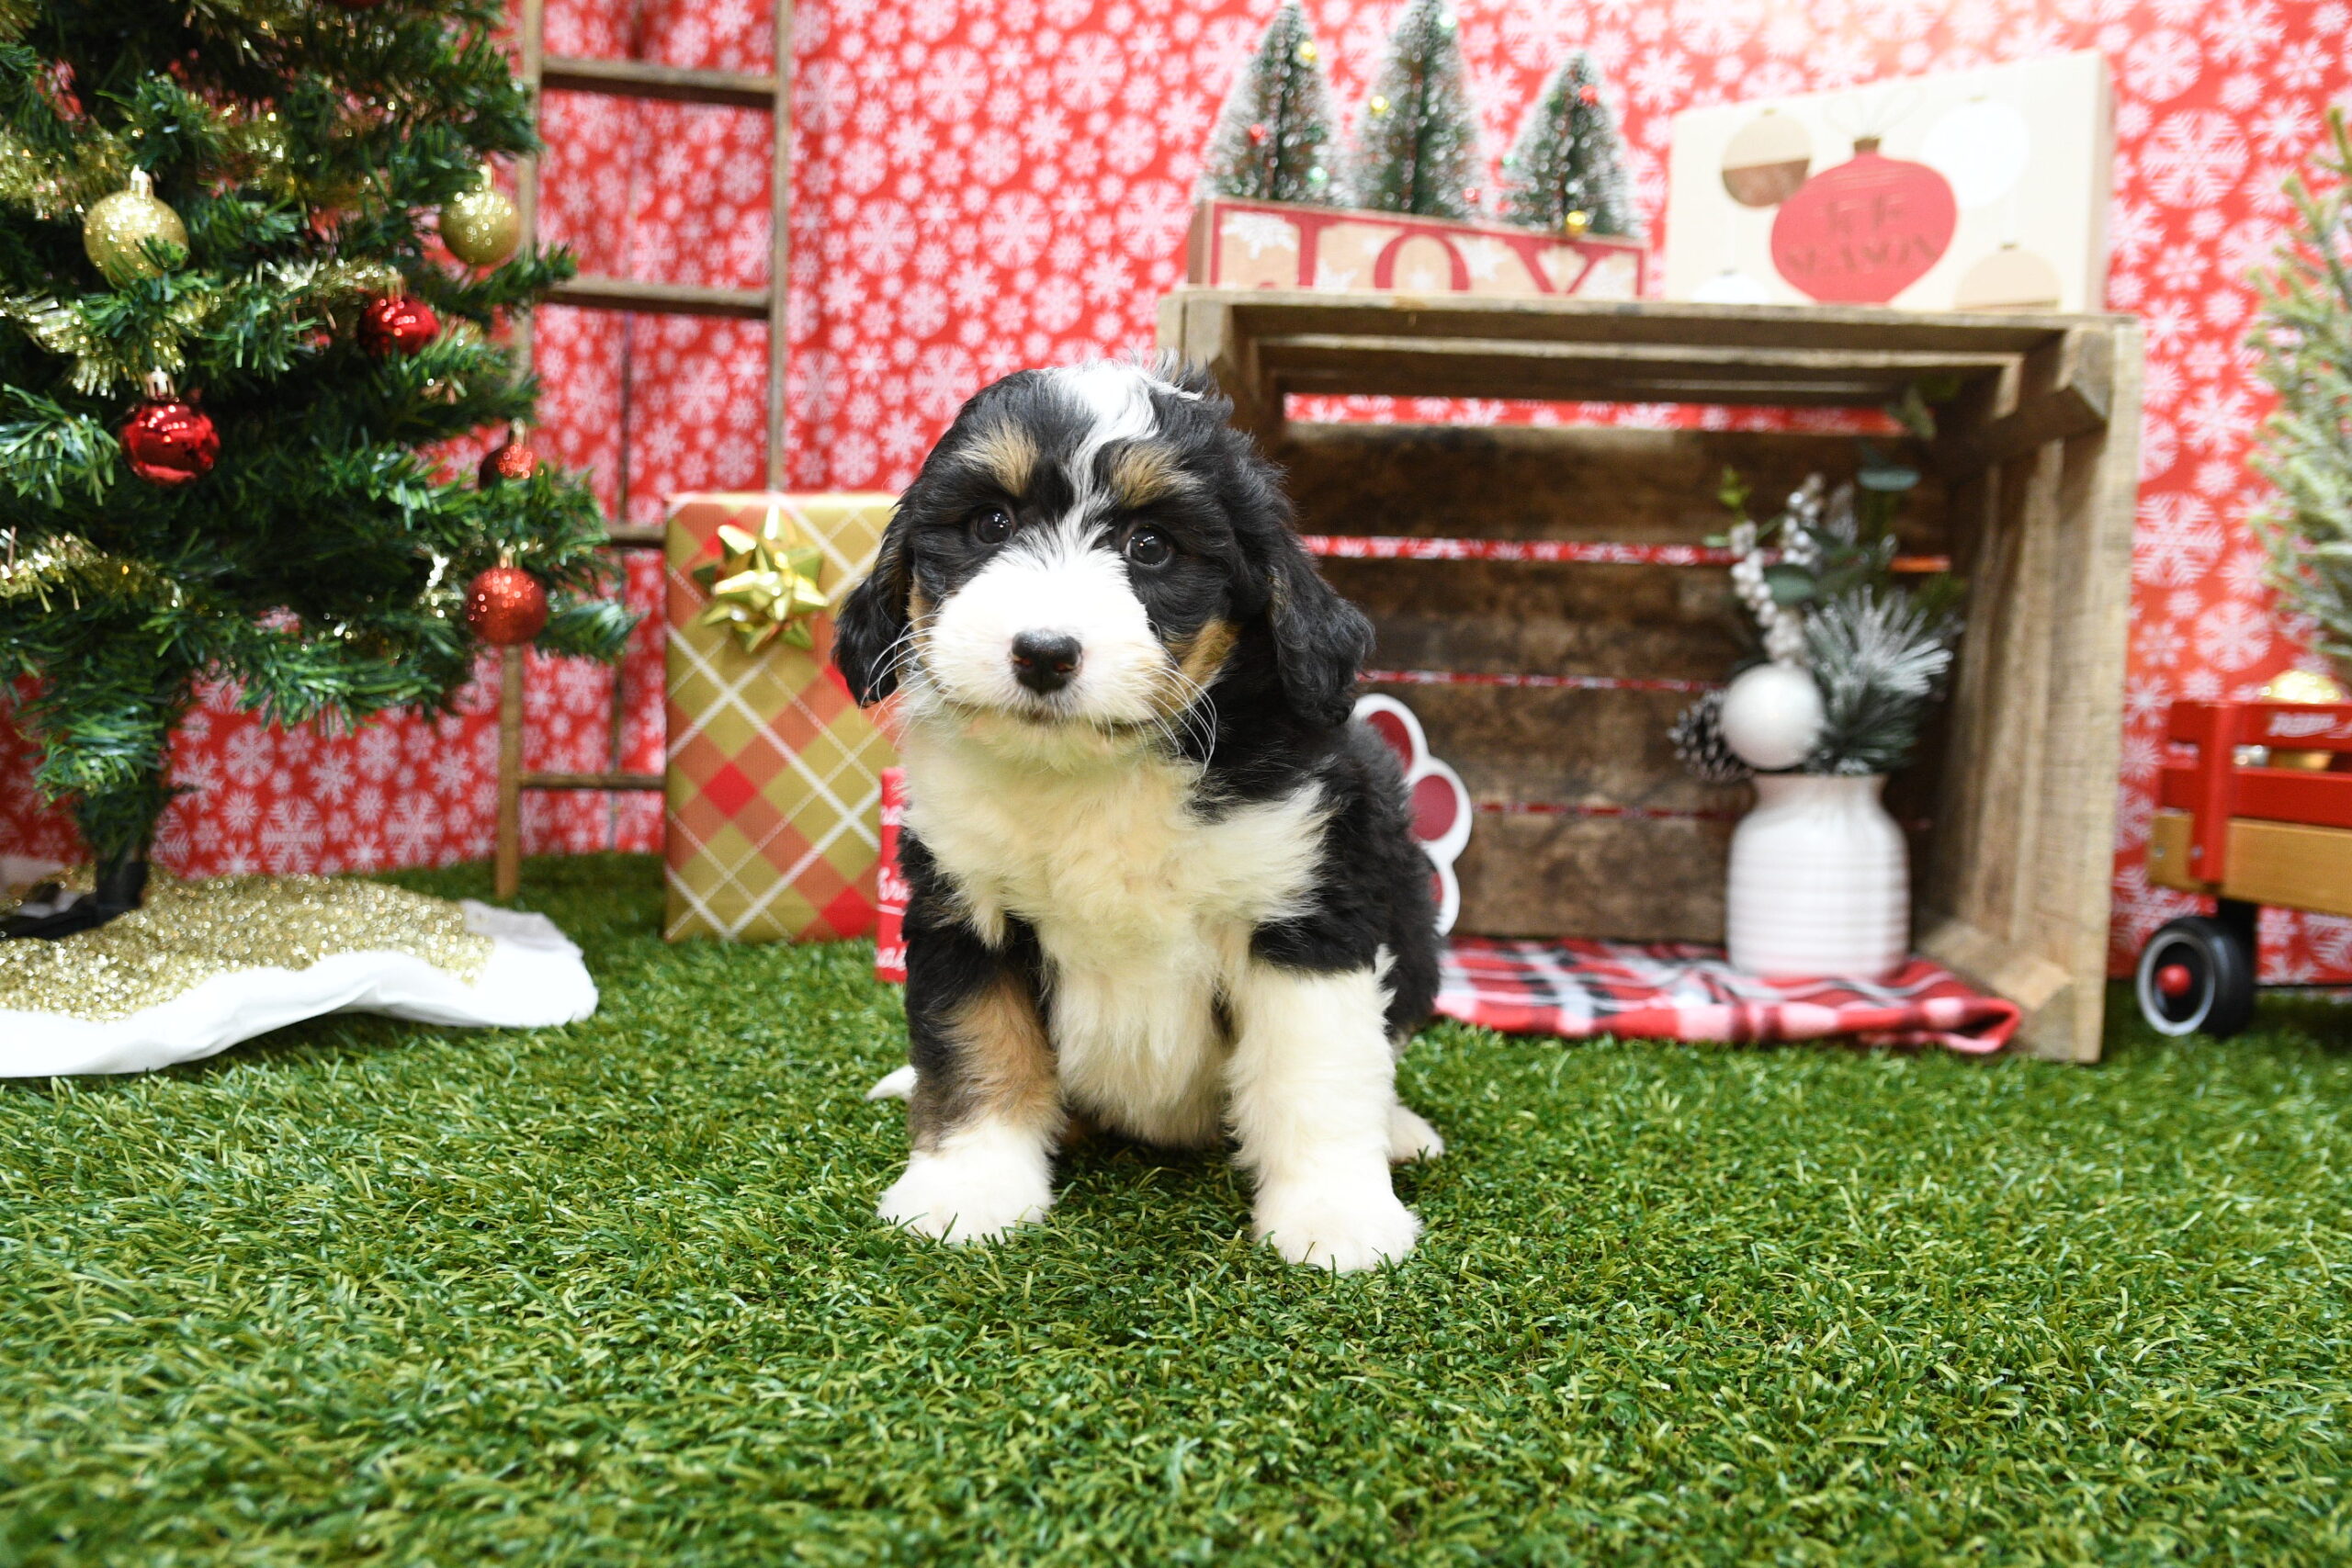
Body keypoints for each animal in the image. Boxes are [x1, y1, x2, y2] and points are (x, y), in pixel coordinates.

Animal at [832, 359, 1443, 1271]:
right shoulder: (964, 907)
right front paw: (969, 1188)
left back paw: (1398, 1131)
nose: (1044, 652)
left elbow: (1315, 1072)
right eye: (990, 522)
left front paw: (1336, 1216)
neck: (1097, 771)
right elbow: (978, 1045)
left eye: (1150, 546)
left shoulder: (1306, 916)